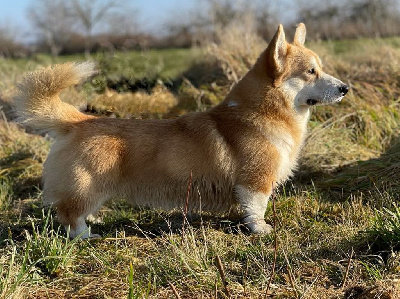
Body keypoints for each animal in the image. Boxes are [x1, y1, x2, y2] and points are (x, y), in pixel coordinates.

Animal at [14, 23, 348, 239]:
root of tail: (78, 120)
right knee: (69, 215)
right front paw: (261, 230)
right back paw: (85, 235)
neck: (261, 111)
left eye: (320, 68)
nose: (345, 88)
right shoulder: (256, 179)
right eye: (311, 72)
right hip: (87, 185)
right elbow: (256, 207)